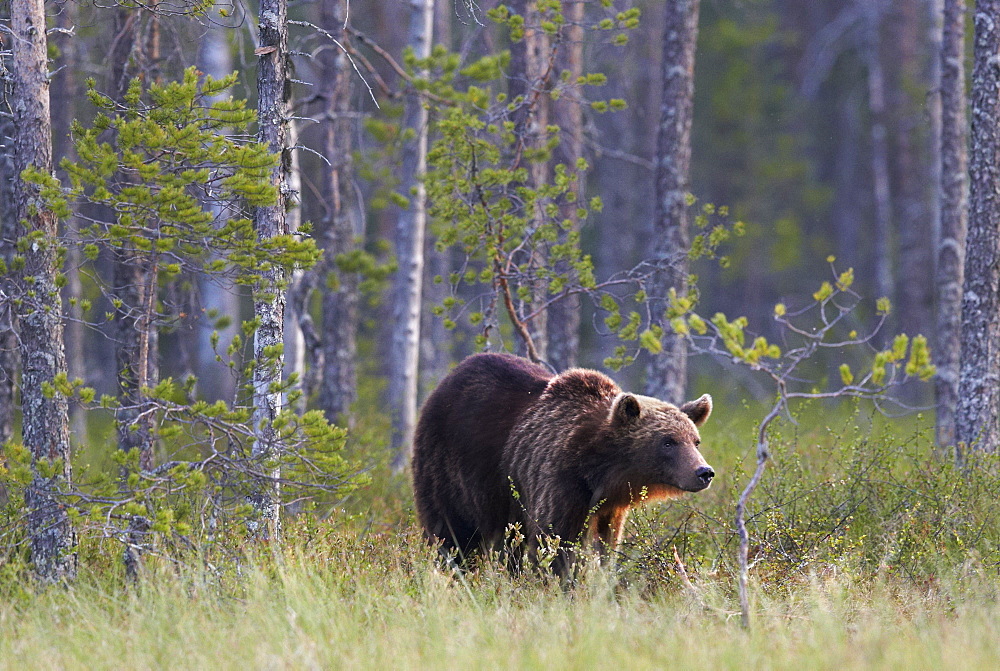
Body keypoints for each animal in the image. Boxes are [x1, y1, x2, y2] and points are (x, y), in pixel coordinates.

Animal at [410, 352, 716, 572]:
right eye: (668, 441)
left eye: (695, 440)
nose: (704, 472)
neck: (599, 471)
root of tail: (445, 381)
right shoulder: (558, 480)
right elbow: (555, 540)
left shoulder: (610, 508)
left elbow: (607, 544)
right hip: (450, 467)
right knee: (452, 532)